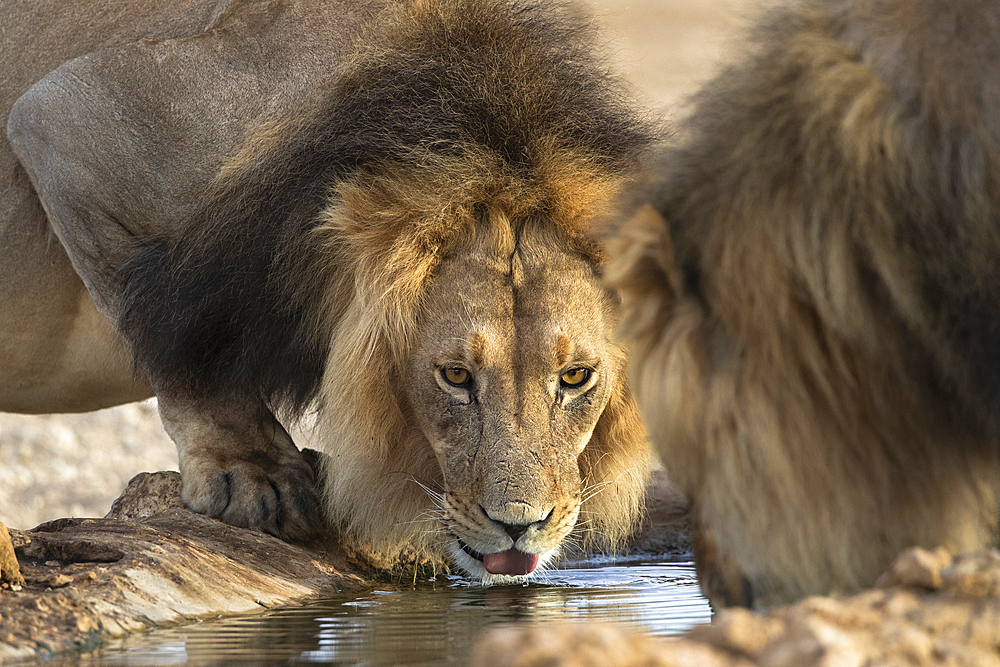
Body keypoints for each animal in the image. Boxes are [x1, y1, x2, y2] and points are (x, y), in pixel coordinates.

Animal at [0, 0, 652, 580]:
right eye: (456, 376)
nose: (521, 526)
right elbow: (178, 352)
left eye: (576, 377)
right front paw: (254, 473)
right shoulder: (64, 117)